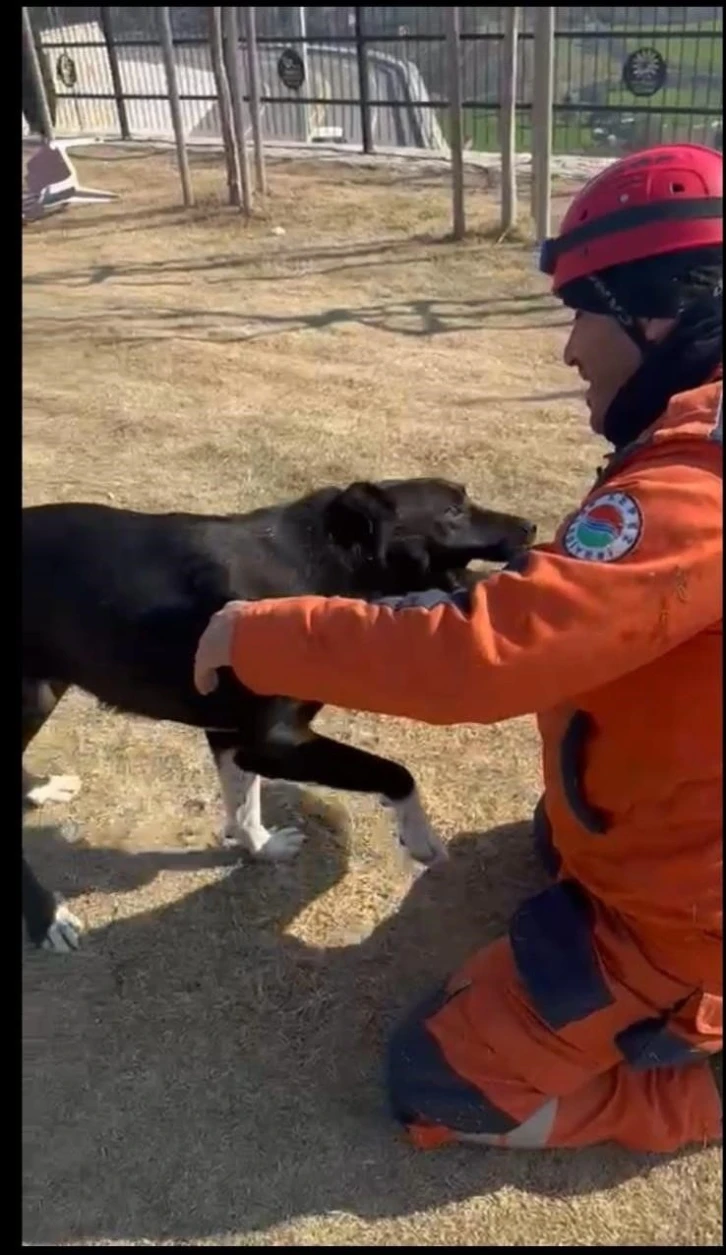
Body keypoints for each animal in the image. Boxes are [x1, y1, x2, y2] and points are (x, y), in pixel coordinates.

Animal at [24, 479, 532, 948]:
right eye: (453, 511)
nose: (530, 527)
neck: (326, 560)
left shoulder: (231, 734)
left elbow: (243, 802)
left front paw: (262, 847)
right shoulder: (273, 742)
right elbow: (394, 772)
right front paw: (420, 836)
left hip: (47, 689)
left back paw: (43, 789)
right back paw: (48, 918)